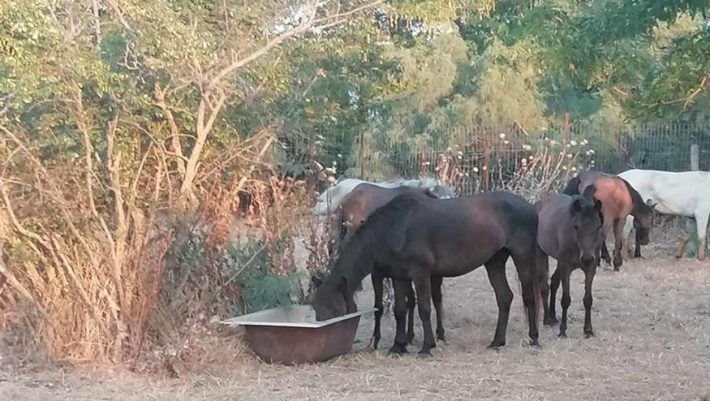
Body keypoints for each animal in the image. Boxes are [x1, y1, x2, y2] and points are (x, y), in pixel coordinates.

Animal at [312, 191, 544, 356]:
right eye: (315, 307)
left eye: (333, 307)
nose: (325, 333)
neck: (397, 226)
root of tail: (531, 208)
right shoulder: (399, 276)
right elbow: (400, 310)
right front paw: (398, 346)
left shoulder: (420, 273)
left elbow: (424, 308)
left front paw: (426, 347)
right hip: (494, 261)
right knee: (504, 297)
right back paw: (497, 342)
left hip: (522, 257)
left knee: (528, 296)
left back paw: (533, 338)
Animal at [540, 191, 608, 338]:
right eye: (576, 226)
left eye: (598, 226)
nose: (587, 259)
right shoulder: (566, 268)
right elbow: (566, 300)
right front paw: (563, 330)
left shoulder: (590, 269)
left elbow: (588, 300)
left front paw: (588, 329)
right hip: (542, 254)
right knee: (544, 287)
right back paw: (547, 319)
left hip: (559, 262)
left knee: (554, 282)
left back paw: (553, 317)